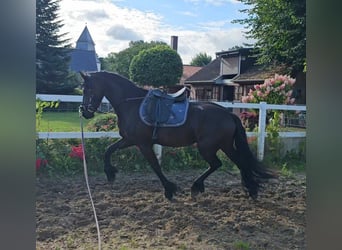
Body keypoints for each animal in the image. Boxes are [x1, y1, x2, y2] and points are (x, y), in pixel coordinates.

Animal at [79, 71, 276, 200]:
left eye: (88, 89)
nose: (85, 112)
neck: (132, 104)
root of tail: (228, 114)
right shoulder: (129, 140)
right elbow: (108, 150)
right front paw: (110, 172)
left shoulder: (143, 144)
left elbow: (155, 166)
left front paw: (169, 189)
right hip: (224, 145)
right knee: (239, 162)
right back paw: (249, 188)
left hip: (208, 147)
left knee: (218, 164)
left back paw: (199, 186)